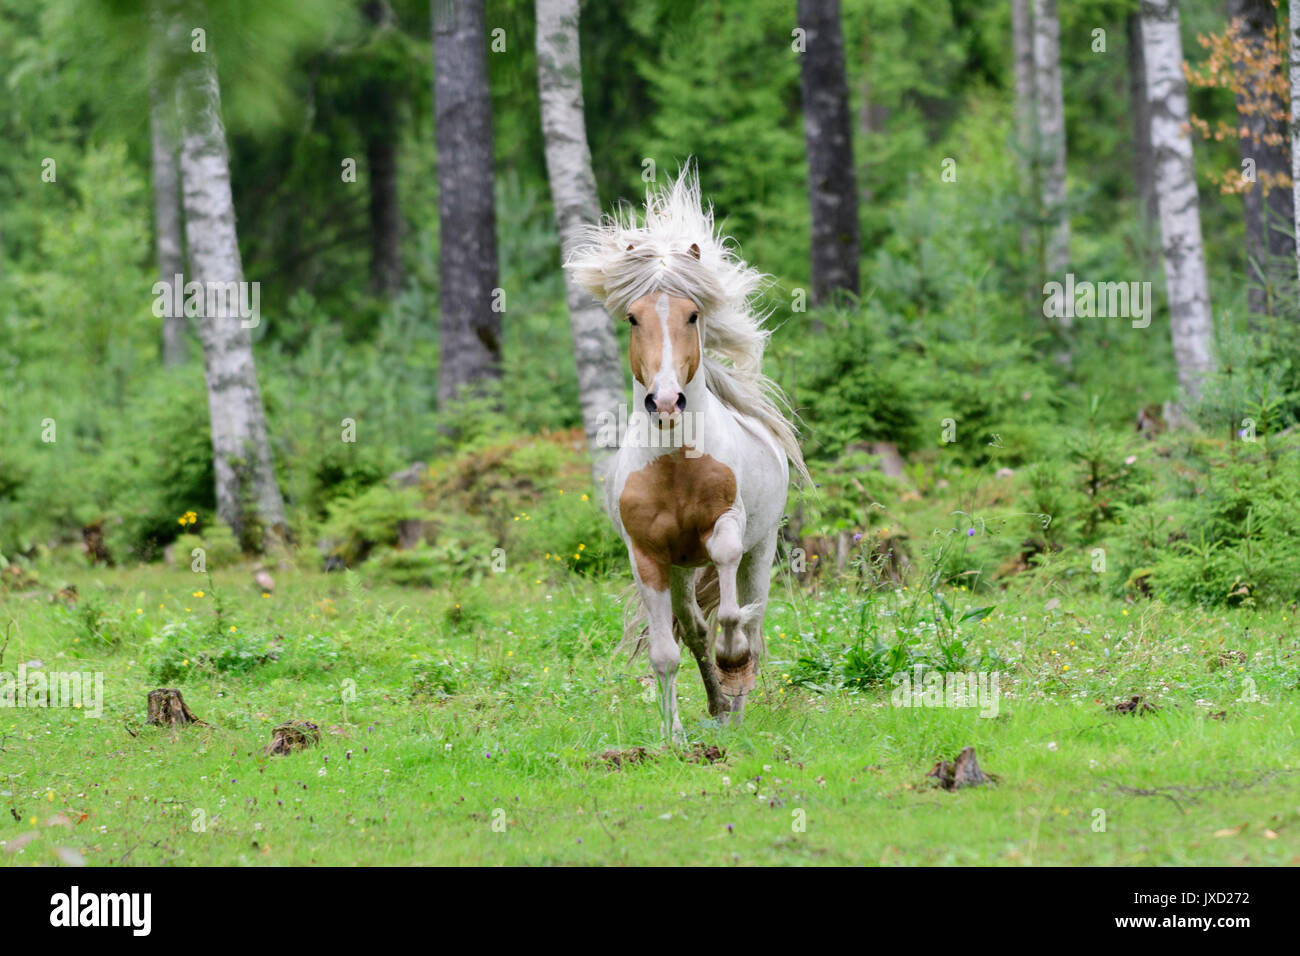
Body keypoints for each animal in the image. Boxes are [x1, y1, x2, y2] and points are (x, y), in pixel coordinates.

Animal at [566, 170, 806, 738]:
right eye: (633, 319)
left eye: (693, 314)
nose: (666, 401)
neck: (675, 466)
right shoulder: (649, 557)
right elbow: (667, 652)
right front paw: (671, 734)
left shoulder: (728, 529)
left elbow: (732, 613)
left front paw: (734, 666)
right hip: (679, 569)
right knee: (694, 628)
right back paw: (718, 707)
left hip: (763, 545)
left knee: (750, 617)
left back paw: (736, 703)